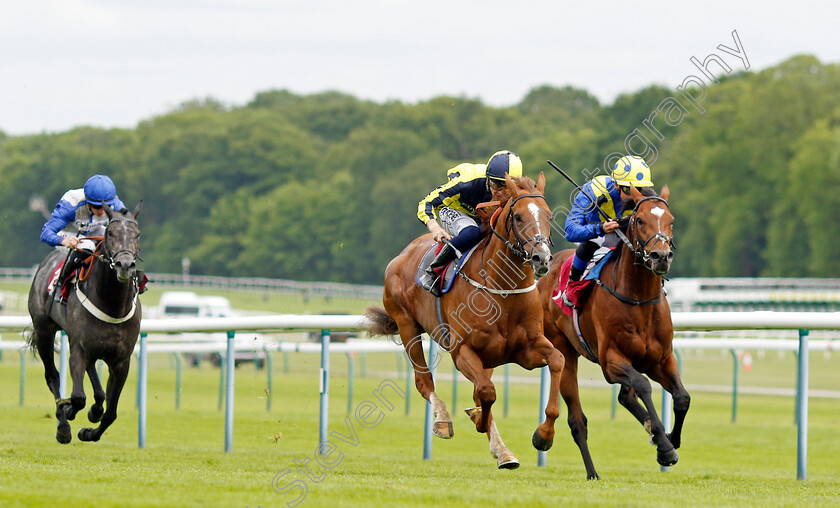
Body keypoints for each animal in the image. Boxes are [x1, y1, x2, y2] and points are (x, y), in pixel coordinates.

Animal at [366, 174, 564, 468]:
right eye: (517, 216)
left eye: (548, 215)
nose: (542, 258)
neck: (502, 289)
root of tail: (404, 253)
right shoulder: (462, 352)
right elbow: (487, 392)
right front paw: (478, 421)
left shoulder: (526, 350)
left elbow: (557, 360)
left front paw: (544, 434)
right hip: (407, 326)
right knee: (424, 382)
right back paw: (443, 420)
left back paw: (503, 451)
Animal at [540, 185, 688, 478]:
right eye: (639, 220)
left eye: (671, 220)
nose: (661, 257)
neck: (639, 300)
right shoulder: (611, 360)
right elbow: (643, 385)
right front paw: (664, 445)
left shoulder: (662, 359)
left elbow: (681, 397)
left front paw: (670, 440)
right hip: (564, 352)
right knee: (578, 420)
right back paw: (592, 472)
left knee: (625, 396)